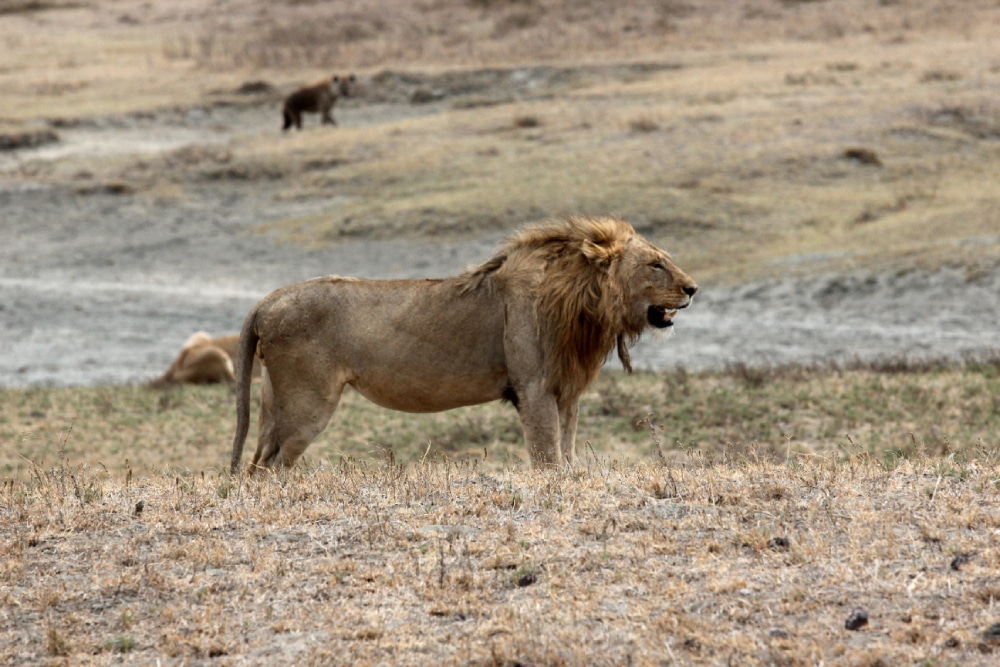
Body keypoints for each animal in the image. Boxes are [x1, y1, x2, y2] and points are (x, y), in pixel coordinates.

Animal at [229, 215, 696, 474]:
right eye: (655, 265)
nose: (693, 288)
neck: (585, 302)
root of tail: (267, 300)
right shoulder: (534, 388)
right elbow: (548, 458)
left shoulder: (566, 392)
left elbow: (567, 450)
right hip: (308, 401)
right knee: (270, 467)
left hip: (275, 400)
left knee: (256, 464)